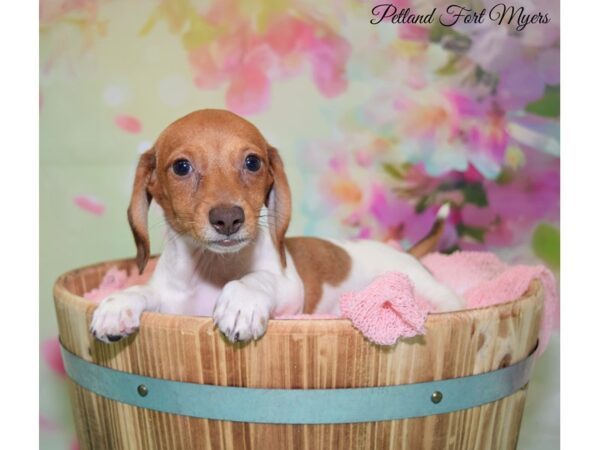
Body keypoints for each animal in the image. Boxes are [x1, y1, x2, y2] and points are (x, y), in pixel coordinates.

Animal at [90, 108, 464, 342]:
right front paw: (119, 303)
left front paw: (241, 301)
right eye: (181, 167)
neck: (213, 268)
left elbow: (257, 279)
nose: (228, 218)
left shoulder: (289, 288)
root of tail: (405, 253)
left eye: (252, 162)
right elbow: (144, 290)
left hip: (428, 290)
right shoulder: (172, 302)